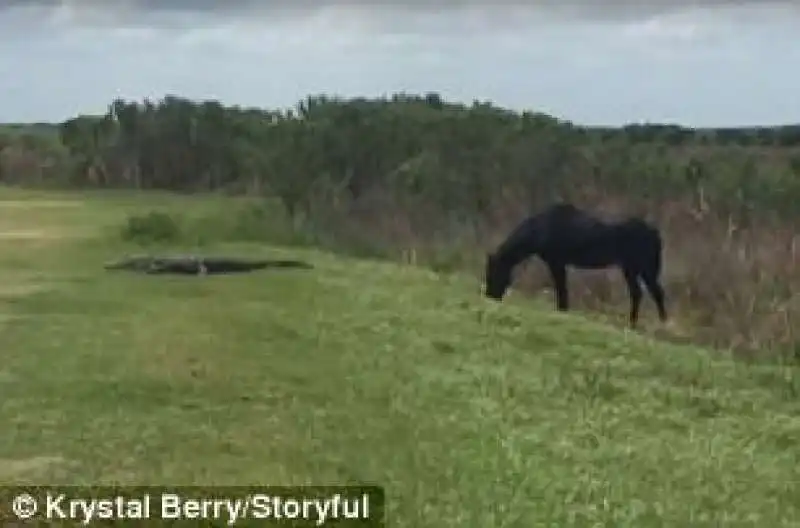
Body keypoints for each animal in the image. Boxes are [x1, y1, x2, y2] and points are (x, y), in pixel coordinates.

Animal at [484, 204, 664, 328]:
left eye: (494, 271)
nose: (489, 296)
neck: (539, 231)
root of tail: (655, 233)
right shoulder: (558, 262)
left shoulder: (556, 262)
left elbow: (562, 290)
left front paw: (562, 311)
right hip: (632, 268)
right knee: (642, 293)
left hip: (642, 267)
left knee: (652, 292)